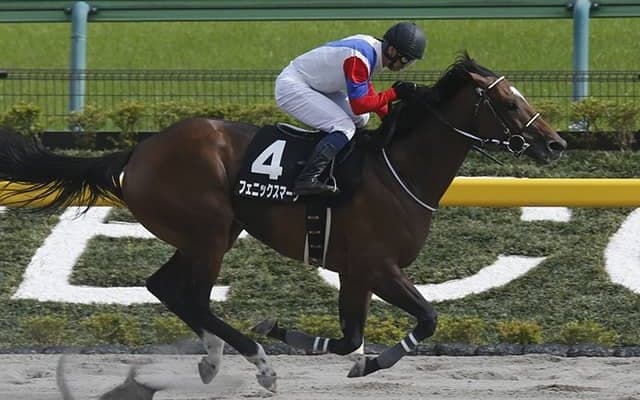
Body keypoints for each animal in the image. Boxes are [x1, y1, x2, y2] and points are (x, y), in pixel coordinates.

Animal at [0, 53, 565, 392]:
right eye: (508, 101)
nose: (556, 143)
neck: (398, 171)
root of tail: (140, 149)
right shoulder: (377, 266)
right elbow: (426, 318)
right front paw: (311, 345)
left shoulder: (355, 272)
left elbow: (350, 337)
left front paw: (340, 353)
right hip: (209, 230)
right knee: (190, 295)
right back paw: (257, 361)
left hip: (211, 232)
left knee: (168, 287)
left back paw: (214, 357)